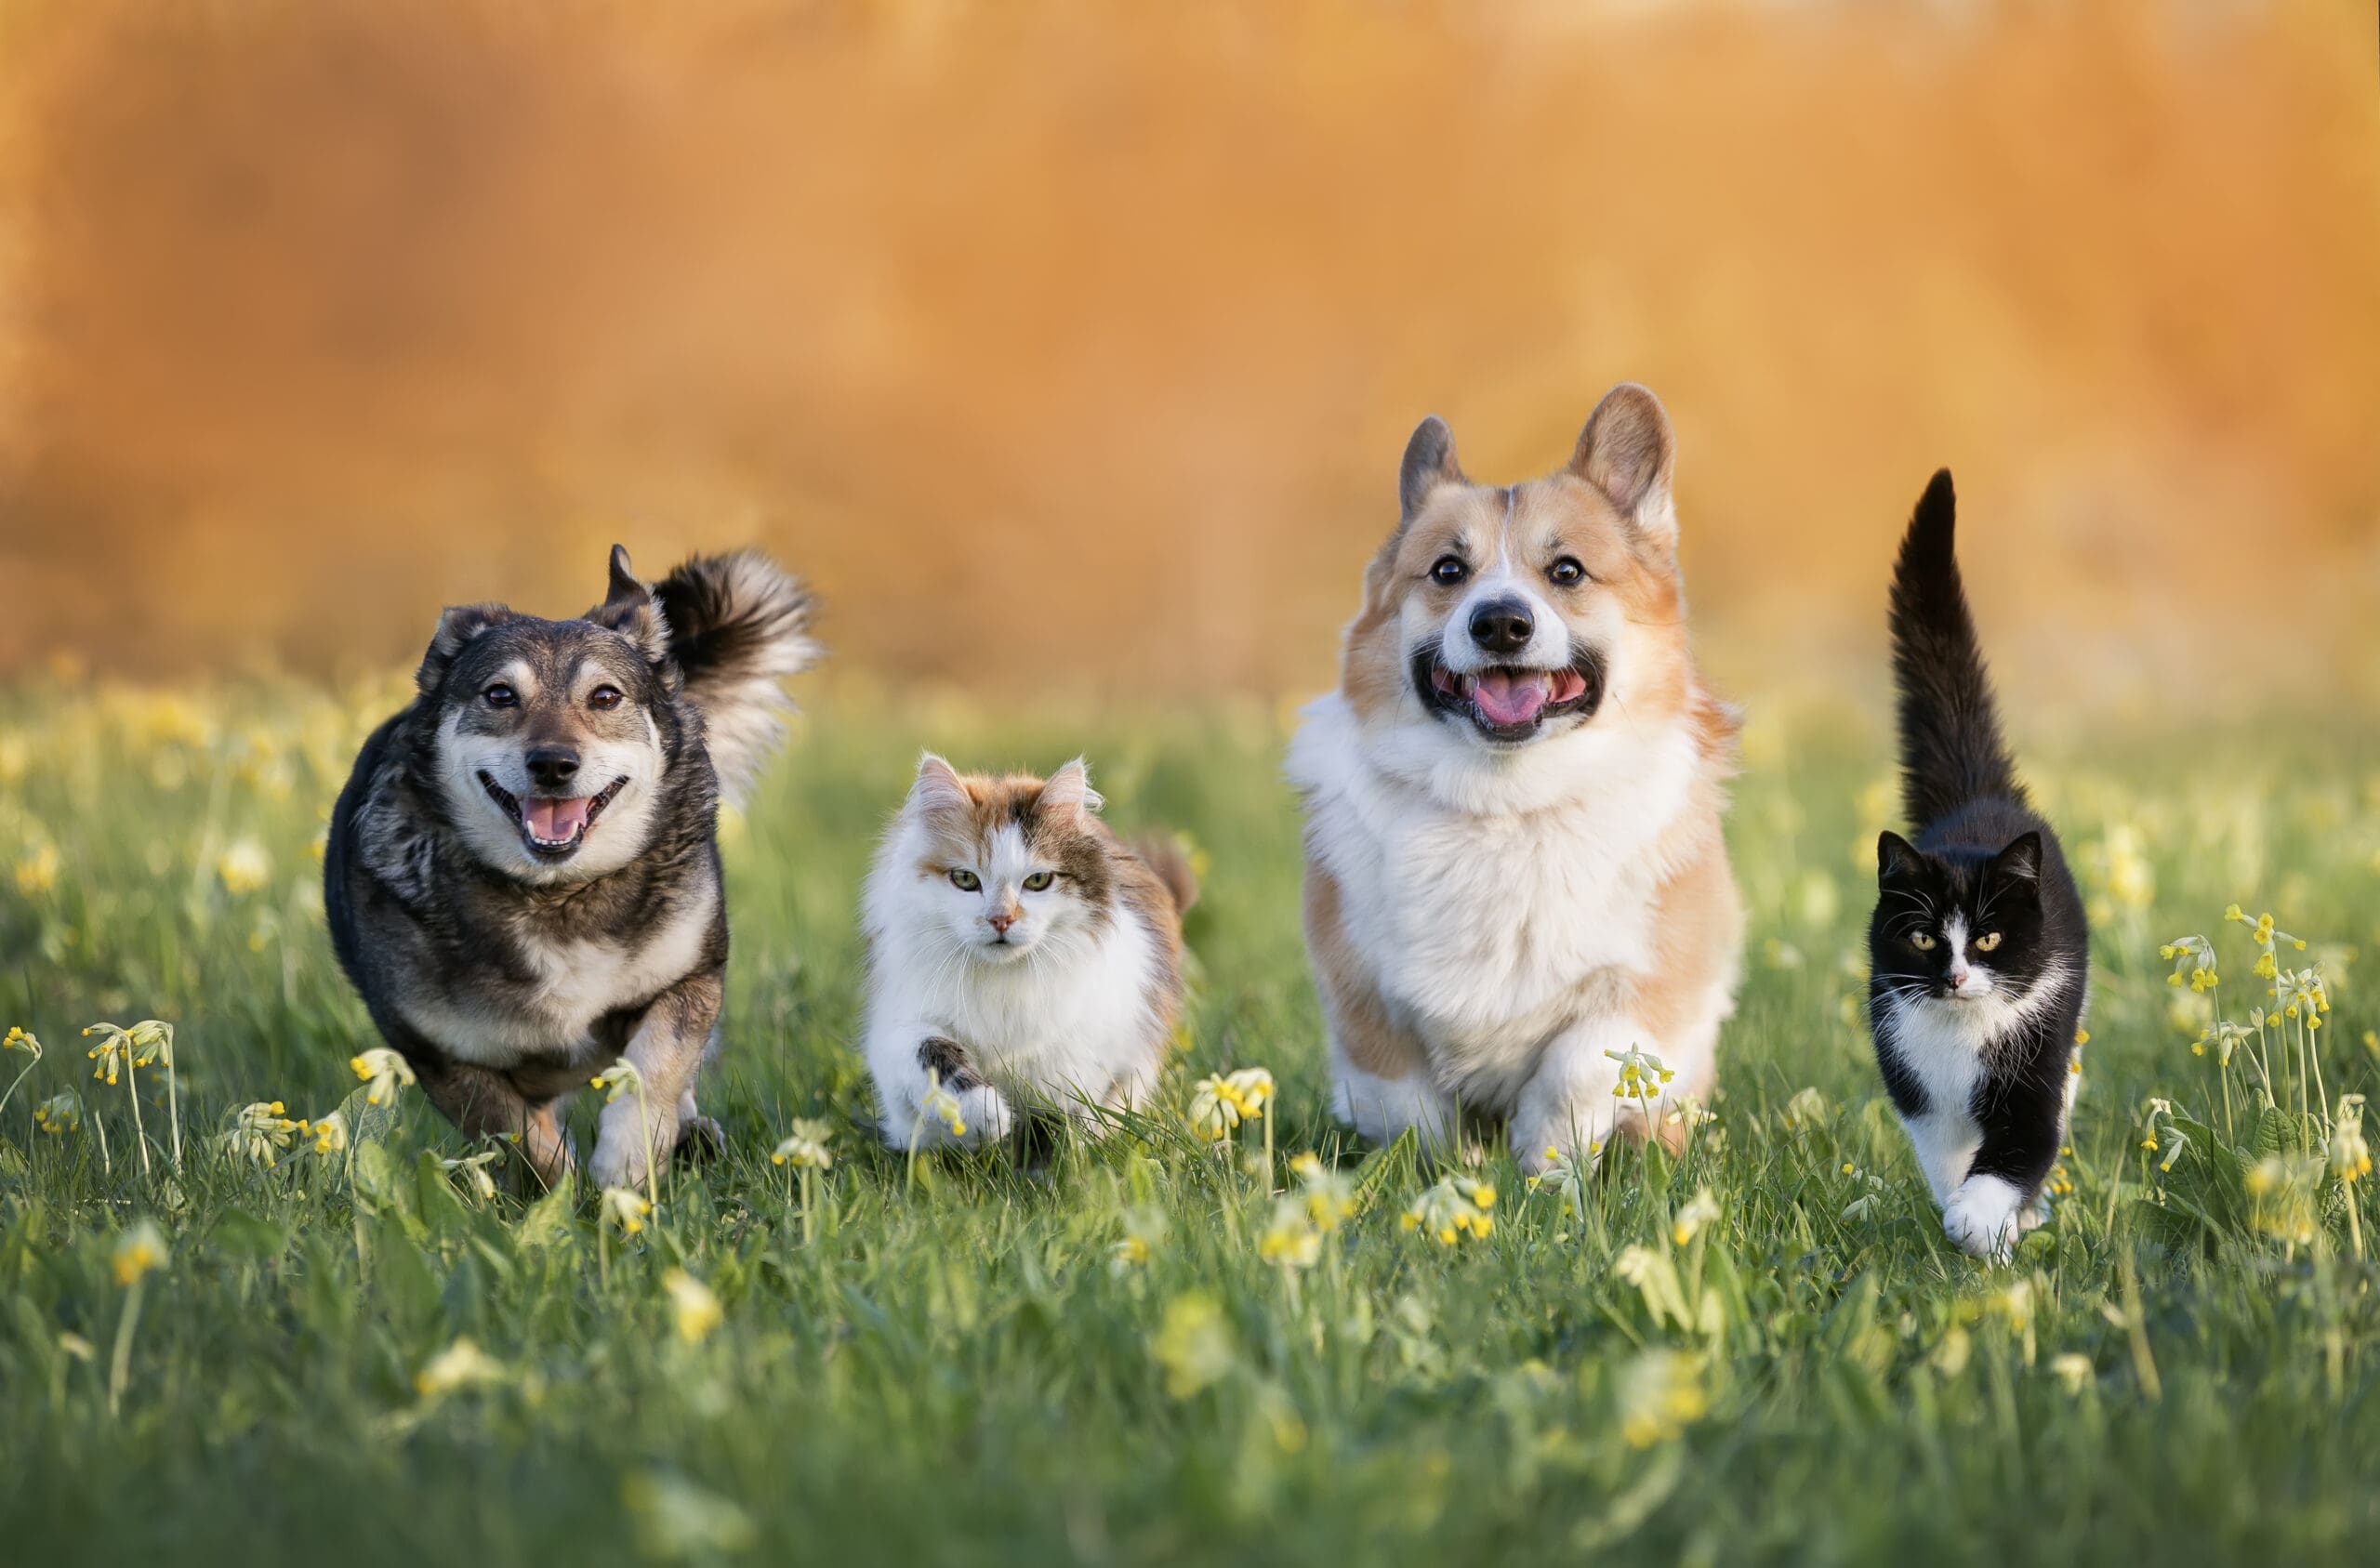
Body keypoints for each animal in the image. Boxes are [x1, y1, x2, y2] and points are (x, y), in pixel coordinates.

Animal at [325, 549, 813, 1189]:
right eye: (500, 695)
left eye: (605, 697)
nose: (554, 764)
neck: (556, 894)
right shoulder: (443, 1055)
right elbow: (522, 1140)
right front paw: (566, 1191)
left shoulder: (691, 978)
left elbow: (656, 1068)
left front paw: (626, 1165)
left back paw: (692, 1137)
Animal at [856, 757, 1199, 1146]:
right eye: (965, 879)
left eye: (1037, 881)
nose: (1001, 919)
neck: (1001, 982)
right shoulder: (899, 1027)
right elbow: (933, 1057)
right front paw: (985, 1118)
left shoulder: (1080, 1061)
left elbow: (1058, 1124)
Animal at [1294, 385, 1741, 1170]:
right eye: (1447, 570)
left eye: (1567, 571)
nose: (1501, 623)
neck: (1506, 801)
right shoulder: (1364, 1001)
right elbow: (1411, 1108)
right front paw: (1447, 1176)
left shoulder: (1648, 987)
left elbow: (1574, 1072)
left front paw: (1543, 1173)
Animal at [1875, 466, 2084, 1265]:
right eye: (1924, 938)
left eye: (1990, 937)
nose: (1959, 977)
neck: (1965, 1037)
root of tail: (1979, 794)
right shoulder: (1914, 1081)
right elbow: (1945, 1155)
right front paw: (1964, 1213)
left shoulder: (2034, 1064)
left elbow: (2021, 1145)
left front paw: (1982, 1223)